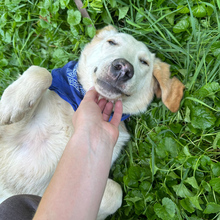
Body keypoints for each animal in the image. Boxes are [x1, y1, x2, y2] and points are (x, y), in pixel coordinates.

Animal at [0, 25, 184, 218]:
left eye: (144, 62)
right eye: (112, 42)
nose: (124, 68)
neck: (76, 107)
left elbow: (115, 192)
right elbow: (42, 72)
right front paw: (12, 101)